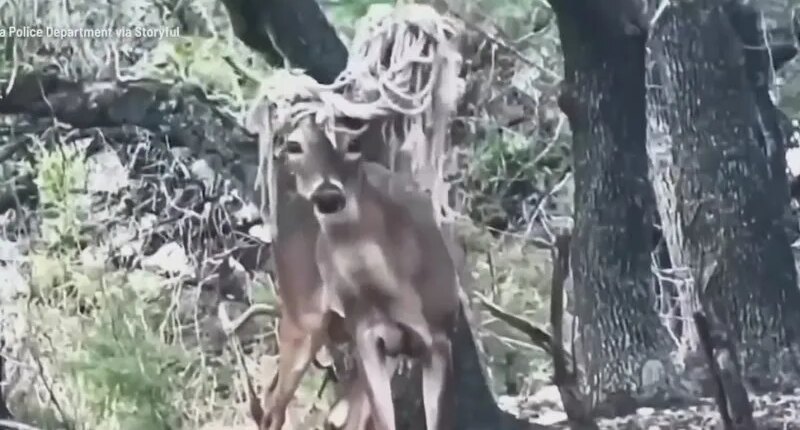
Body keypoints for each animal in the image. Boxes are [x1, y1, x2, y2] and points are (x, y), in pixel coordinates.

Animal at [280, 114, 461, 430]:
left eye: (354, 143)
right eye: (294, 145)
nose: (328, 194)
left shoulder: (439, 338)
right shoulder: (367, 336)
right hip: (301, 317)